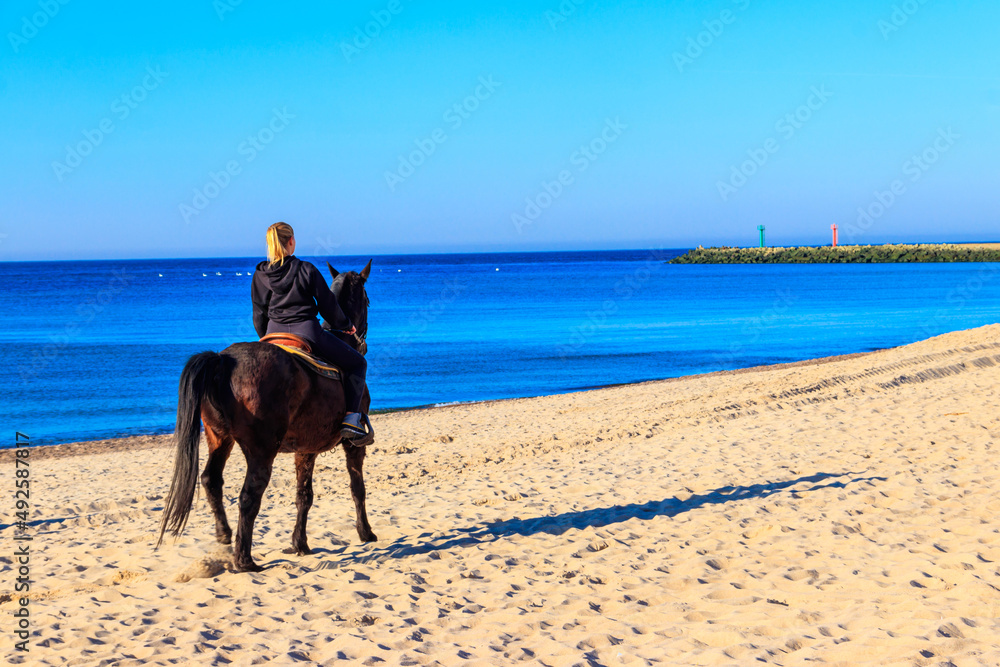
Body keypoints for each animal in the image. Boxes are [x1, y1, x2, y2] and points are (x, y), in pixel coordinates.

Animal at [157, 260, 375, 572]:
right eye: (366, 299)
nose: (362, 341)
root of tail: (225, 360)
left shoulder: (305, 450)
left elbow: (304, 496)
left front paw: (299, 544)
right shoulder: (352, 445)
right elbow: (357, 487)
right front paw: (365, 532)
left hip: (219, 438)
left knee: (211, 480)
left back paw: (225, 535)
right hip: (261, 450)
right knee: (249, 496)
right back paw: (244, 560)